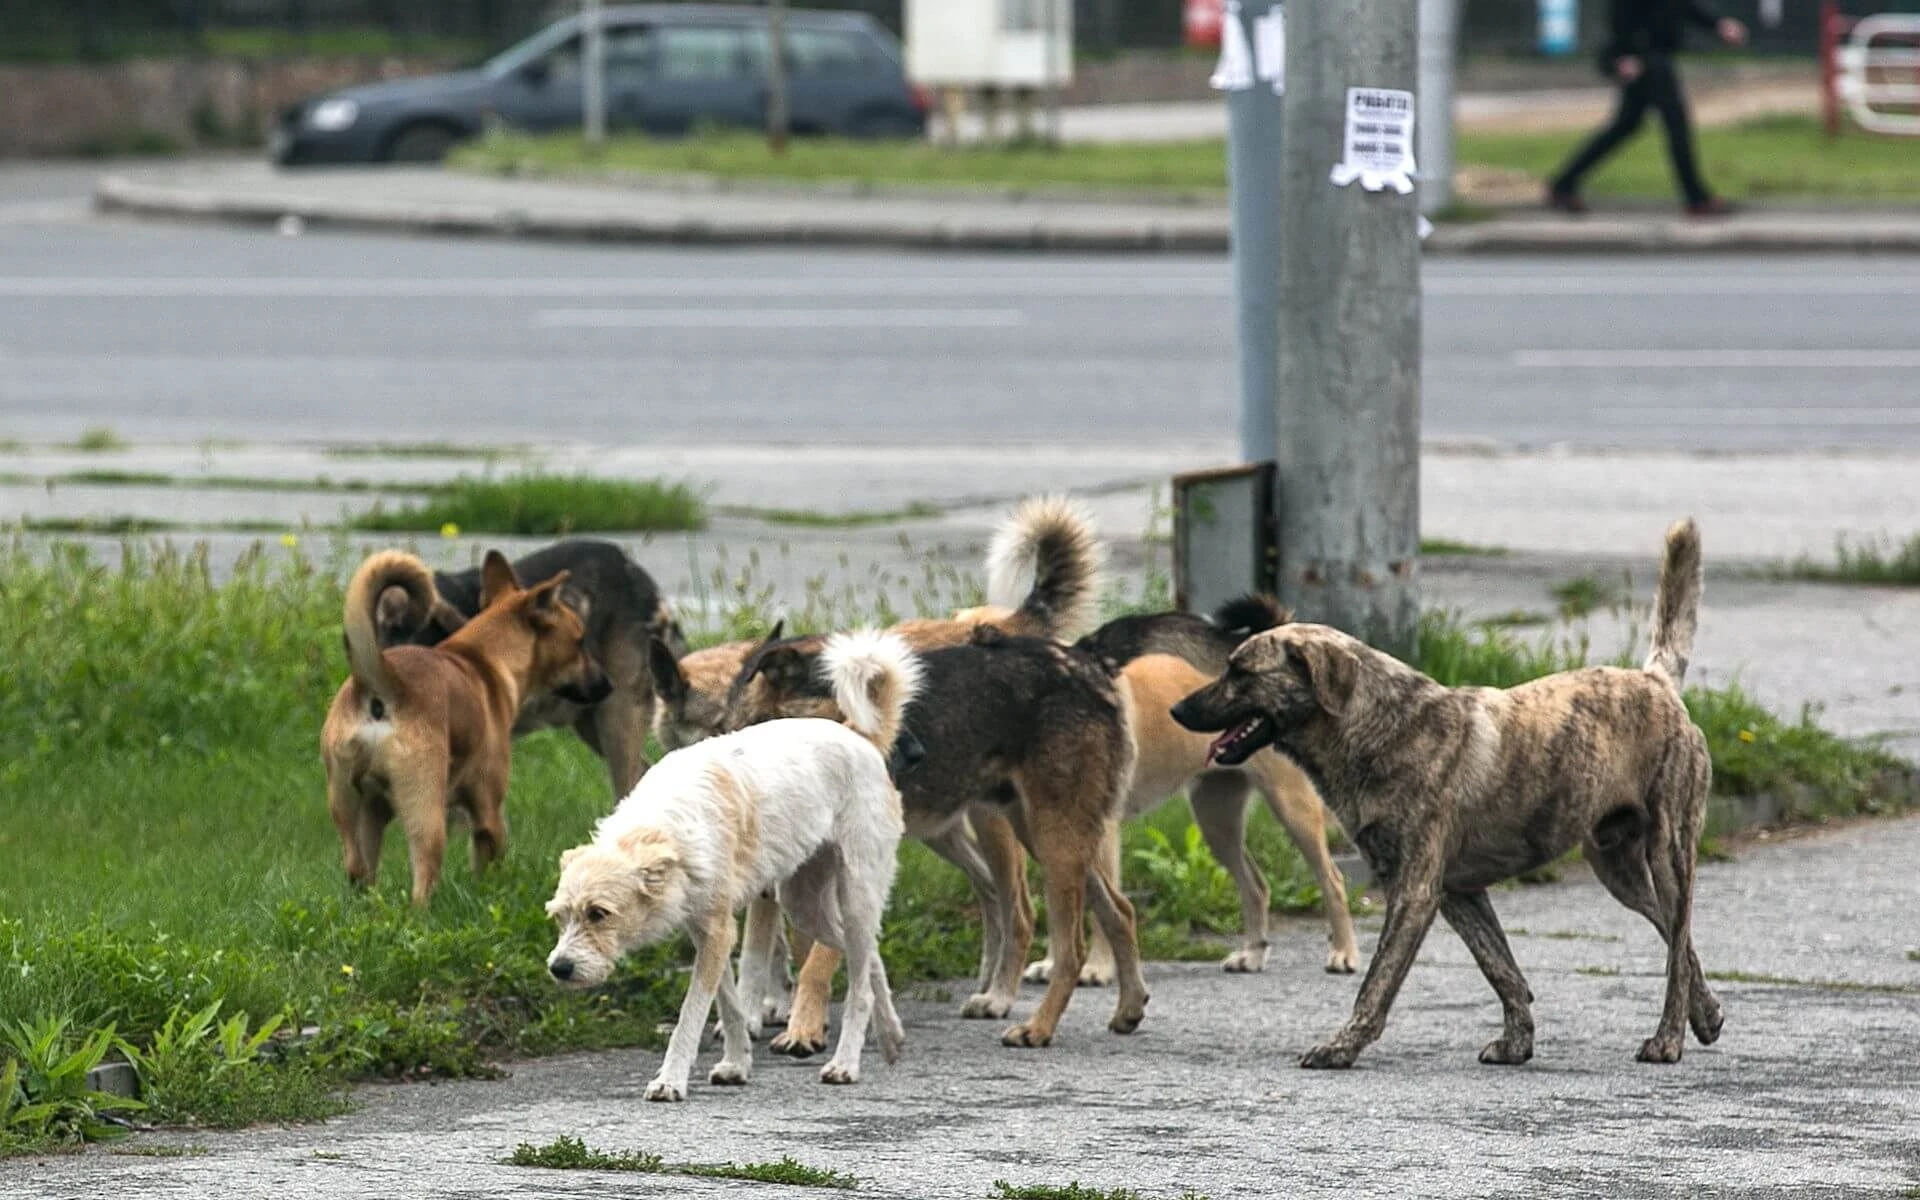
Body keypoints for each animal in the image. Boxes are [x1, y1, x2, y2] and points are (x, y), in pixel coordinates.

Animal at [322, 549, 606, 902]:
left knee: (358, 869)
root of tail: (381, 683)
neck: (484, 659)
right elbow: (488, 863)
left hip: (351, 809)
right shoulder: (489, 813)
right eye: (579, 642)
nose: (607, 685)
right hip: (425, 811)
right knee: (422, 878)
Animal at [549, 625, 921, 1105]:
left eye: (599, 914)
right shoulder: (709, 931)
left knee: (858, 983)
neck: (663, 827)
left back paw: (845, 1063)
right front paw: (737, 1063)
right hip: (804, 904)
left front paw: (671, 1079)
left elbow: (693, 1014)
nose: (559, 969)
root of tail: (861, 738)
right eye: (560, 917)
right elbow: (729, 1005)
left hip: (854, 894)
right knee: (869, 956)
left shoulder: (718, 933)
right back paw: (891, 1034)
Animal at [1167, 518, 1728, 1059]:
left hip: (1669, 854)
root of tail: (1656, 682)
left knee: (1677, 945)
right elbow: (1501, 968)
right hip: (1616, 868)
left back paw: (1668, 1040)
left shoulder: (1414, 893)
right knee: (1678, 938)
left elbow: (1377, 982)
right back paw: (1704, 1014)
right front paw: (1517, 1041)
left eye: (1240, 671)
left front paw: (1342, 1045)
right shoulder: (1458, 892)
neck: (1378, 726)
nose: (1176, 709)